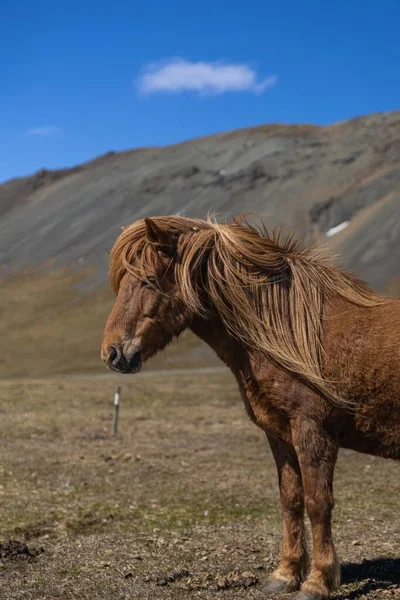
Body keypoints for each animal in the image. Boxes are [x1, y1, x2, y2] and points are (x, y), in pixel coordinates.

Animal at [101, 216, 398, 600]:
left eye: (148, 280)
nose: (111, 353)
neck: (287, 333)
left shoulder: (313, 432)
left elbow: (318, 503)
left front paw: (317, 581)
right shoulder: (280, 434)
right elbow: (291, 499)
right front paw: (285, 574)